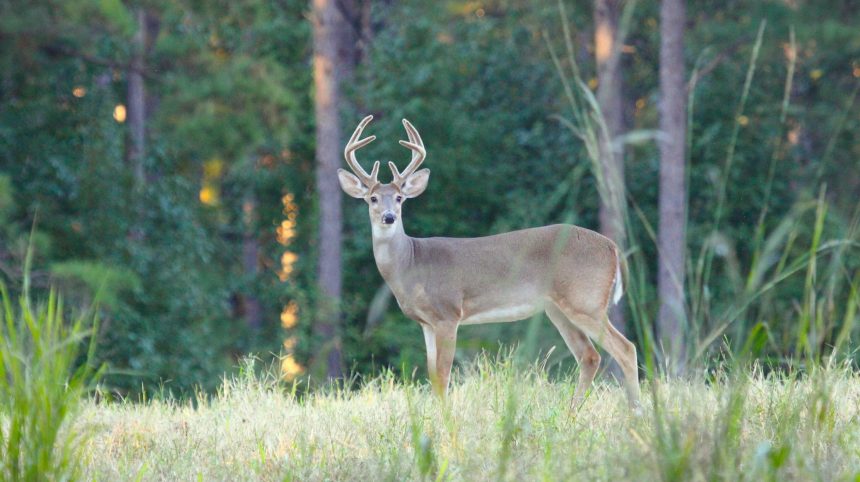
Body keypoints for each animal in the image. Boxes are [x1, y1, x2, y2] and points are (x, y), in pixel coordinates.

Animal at [337, 115, 640, 409]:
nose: (389, 217)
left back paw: (635, 413)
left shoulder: (448, 313)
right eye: (373, 198)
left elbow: (444, 376)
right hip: (558, 308)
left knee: (626, 349)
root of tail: (613, 247)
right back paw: (572, 415)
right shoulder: (426, 322)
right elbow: (433, 376)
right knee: (589, 356)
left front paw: (447, 421)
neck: (411, 264)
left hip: (585, 300)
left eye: (399, 198)